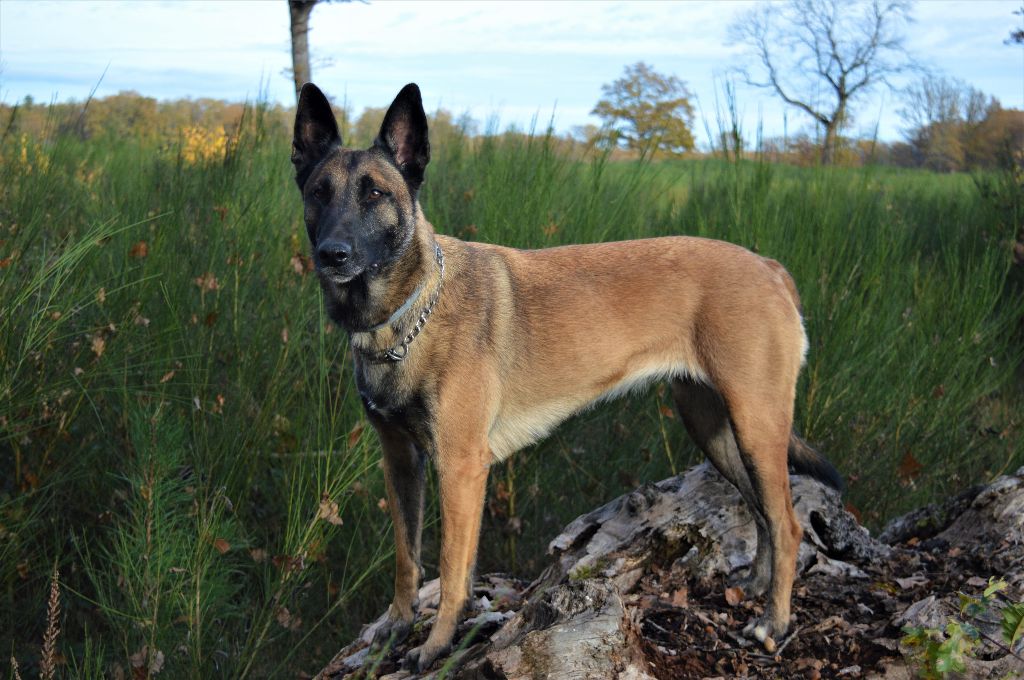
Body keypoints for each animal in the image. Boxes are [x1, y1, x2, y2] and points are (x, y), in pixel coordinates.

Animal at [288, 82, 839, 671]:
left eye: (374, 193)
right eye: (319, 191)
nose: (332, 254)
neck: (407, 315)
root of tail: (768, 266)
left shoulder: (460, 468)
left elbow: (453, 569)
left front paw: (437, 643)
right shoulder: (401, 461)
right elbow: (407, 558)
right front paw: (397, 623)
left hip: (756, 425)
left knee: (787, 523)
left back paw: (773, 624)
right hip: (714, 427)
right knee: (760, 511)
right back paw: (756, 589)